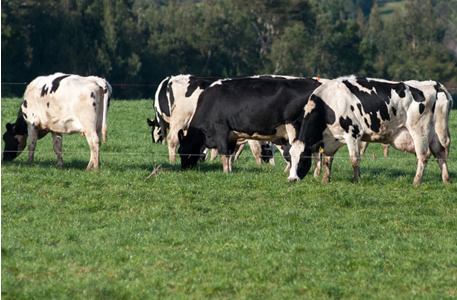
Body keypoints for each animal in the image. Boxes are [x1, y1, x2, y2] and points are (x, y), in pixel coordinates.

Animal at [176, 76, 322, 172]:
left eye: (181, 151)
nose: (185, 169)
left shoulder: (221, 129)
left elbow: (224, 153)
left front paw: (225, 172)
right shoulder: (231, 135)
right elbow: (230, 154)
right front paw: (230, 171)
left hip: (294, 127)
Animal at [288, 76, 448, 184]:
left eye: (303, 158)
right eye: (290, 158)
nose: (291, 179)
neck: (329, 104)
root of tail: (430, 83)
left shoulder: (353, 134)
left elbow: (354, 159)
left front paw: (356, 180)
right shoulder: (330, 139)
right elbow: (328, 159)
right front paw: (325, 179)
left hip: (420, 131)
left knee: (423, 156)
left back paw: (416, 181)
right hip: (432, 132)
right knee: (439, 152)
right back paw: (446, 179)